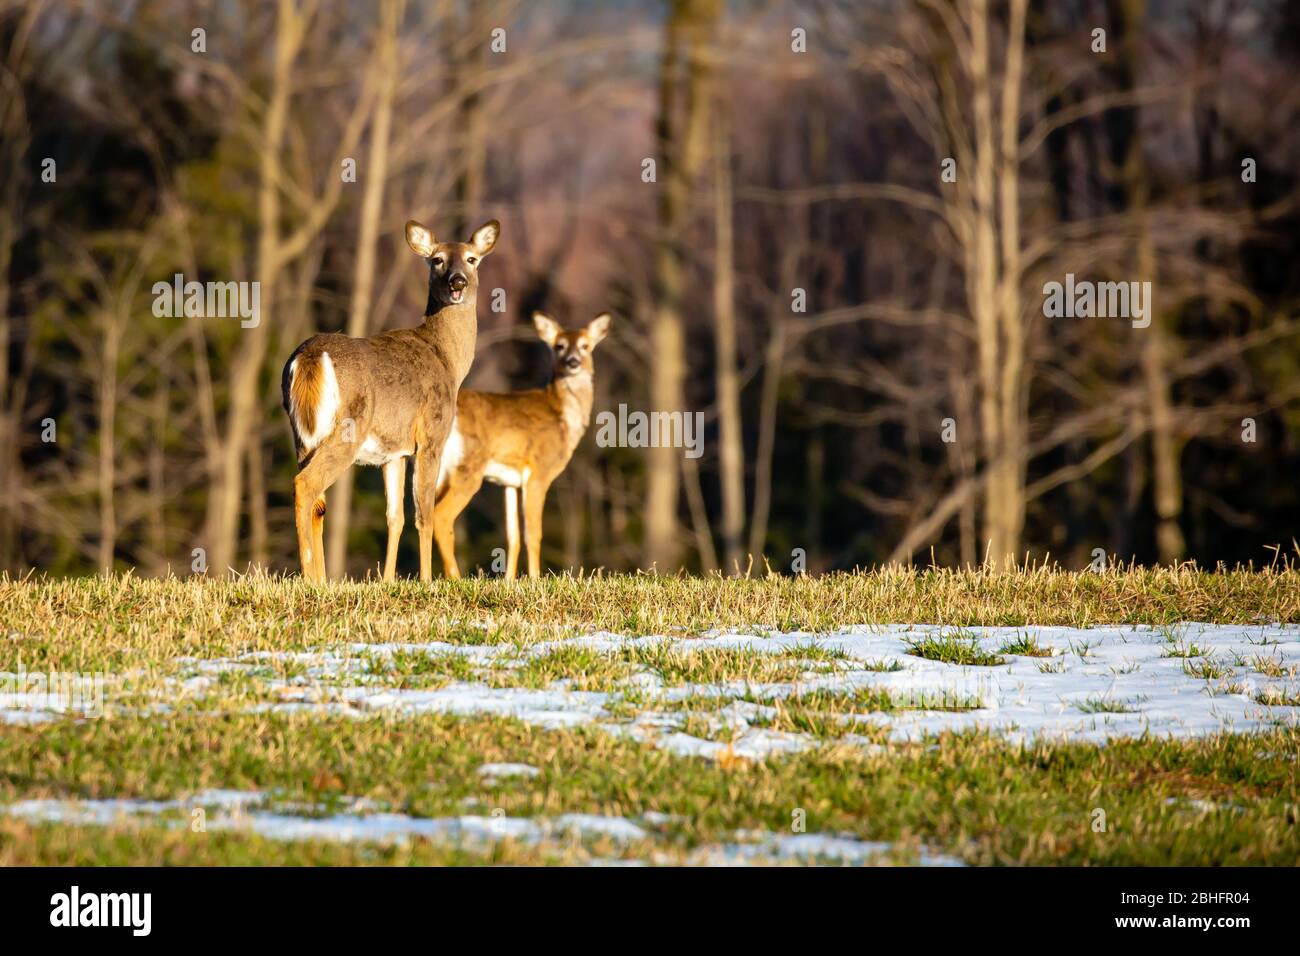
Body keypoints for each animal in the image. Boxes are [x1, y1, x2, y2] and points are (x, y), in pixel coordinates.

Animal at [282, 217, 499, 582]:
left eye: (472, 259)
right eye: (437, 260)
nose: (457, 282)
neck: (448, 360)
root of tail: (310, 356)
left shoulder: (393, 452)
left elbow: (394, 517)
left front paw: (387, 580)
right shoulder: (431, 436)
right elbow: (424, 513)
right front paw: (426, 580)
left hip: (302, 436)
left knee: (318, 502)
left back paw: (323, 580)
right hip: (350, 426)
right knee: (306, 485)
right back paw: (310, 577)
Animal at [428, 310, 605, 580]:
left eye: (586, 345)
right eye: (559, 346)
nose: (572, 362)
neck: (562, 416)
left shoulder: (510, 481)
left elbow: (513, 536)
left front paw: (510, 579)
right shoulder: (539, 472)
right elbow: (533, 533)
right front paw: (535, 578)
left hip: (442, 471)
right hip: (469, 466)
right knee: (441, 516)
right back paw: (455, 578)